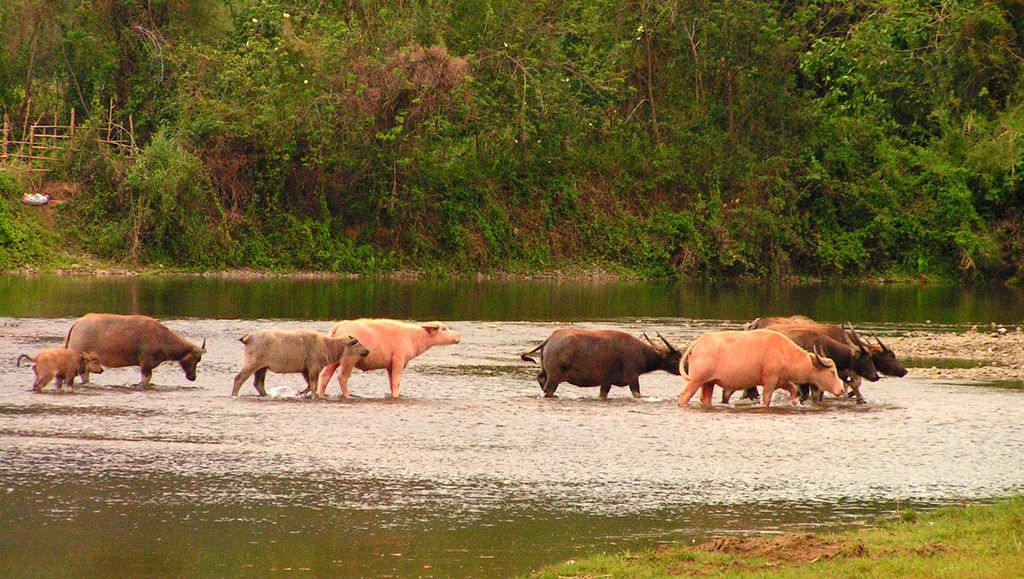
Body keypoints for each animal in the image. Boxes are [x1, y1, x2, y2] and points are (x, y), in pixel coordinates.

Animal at [64, 313, 205, 385]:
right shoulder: (146, 364)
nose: (193, 377)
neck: (162, 339)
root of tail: (77, 323)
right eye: (196, 359)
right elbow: (145, 380)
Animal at [231, 329, 368, 397]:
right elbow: (313, 385)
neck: (328, 346)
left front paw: (301, 393)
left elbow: (309, 385)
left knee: (258, 383)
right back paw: (234, 395)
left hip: (262, 367)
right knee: (239, 378)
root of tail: (248, 337)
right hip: (251, 363)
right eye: (358, 343)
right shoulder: (314, 367)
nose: (367, 351)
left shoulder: (305, 369)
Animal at [520, 329, 679, 397]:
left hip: (546, 373)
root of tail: (550, 339)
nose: (683, 369)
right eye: (677, 357)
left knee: (540, 379)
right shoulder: (633, 378)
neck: (642, 354)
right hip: (554, 377)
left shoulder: (606, 382)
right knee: (548, 390)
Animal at [679, 327, 839, 407]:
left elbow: (793, 389)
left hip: (708, 382)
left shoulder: (780, 380)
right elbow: (766, 399)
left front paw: (794, 401)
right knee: (684, 396)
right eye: (832, 372)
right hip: (696, 380)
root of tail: (699, 342)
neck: (784, 352)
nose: (841, 390)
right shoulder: (769, 381)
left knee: (705, 398)